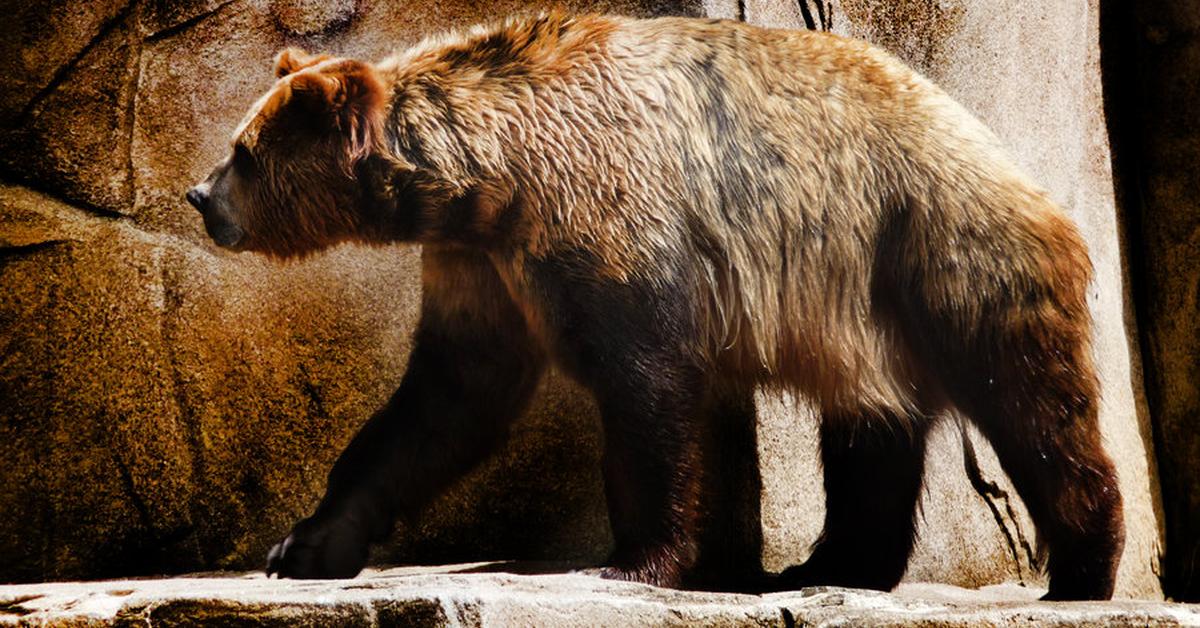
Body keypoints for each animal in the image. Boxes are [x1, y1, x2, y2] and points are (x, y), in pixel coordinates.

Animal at [184, 11, 1123, 600]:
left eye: (245, 150)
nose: (199, 196)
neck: (494, 182)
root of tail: (1023, 172)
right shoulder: (479, 266)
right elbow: (445, 399)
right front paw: (305, 542)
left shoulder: (612, 222)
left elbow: (647, 395)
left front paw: (629, 561)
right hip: (862, 313)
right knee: (872, 428)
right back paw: (832, 564)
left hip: (943, 253)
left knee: (1032, 405)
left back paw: (1083, 568)